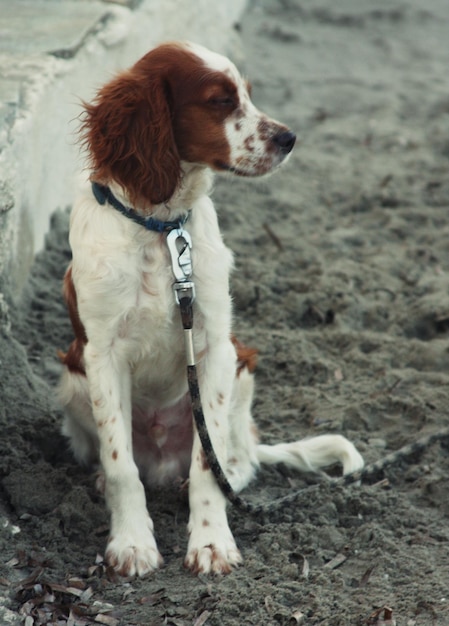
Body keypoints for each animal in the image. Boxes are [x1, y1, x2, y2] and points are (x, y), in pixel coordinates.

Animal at [57, 40, 362, 576]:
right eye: (220, 100)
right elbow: (120, 465)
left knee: (239, 460)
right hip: (72, 379)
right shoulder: (100, 354)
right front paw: (132, 543)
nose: (289, 138)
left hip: (242, 369)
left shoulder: (216, 347)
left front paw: (212, 542)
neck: (161, 226)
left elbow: (208, 464)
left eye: (247, 94)